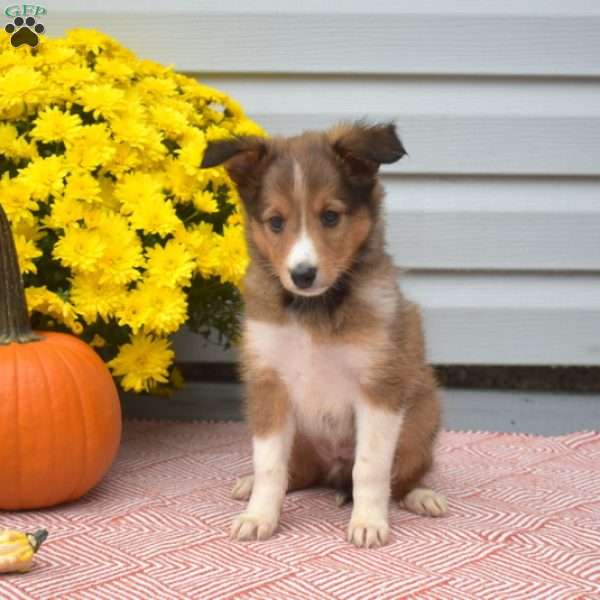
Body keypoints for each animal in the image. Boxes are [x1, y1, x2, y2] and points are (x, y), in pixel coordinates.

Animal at [204, 122, 448, 548]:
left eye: (331, 216)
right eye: (276, 222)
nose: (302, 274)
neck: (313, 308)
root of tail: (332, 467)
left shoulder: (378, 386)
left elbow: (370, 468)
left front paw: (368, 522)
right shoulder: (269, 384)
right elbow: (269, 465)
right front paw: (259, 516)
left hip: (421, 418)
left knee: (403, 475)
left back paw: (421, 496)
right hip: (300, 440)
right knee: (295, 474)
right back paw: (251, 485)